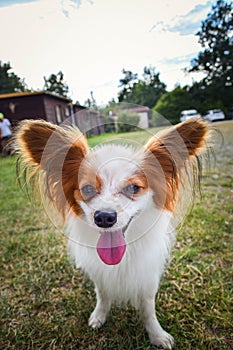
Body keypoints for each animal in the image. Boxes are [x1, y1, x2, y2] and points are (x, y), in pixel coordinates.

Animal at [15, 117, 209, 348]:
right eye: (88, 189)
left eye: (133, 188)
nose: (104, 217)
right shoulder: (99, 273)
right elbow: (102, 294)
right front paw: (99, 315)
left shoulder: (147, 274)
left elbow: (148, 307)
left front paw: (156, 335)